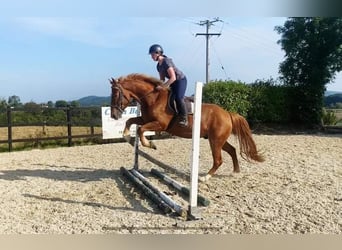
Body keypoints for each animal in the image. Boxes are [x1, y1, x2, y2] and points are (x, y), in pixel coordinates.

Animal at [109, 73, 264, 181]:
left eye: (116, 94)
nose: (113, 115)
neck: (153, 98)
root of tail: (227, 113)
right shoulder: (144, 119)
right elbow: (130, 121)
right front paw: (126, 136)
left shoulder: (160, 124)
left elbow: (141, 130)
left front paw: (151, 144)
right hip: (218, 139)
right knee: (232, 150)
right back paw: (236, 172)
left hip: (215, 140)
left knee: (218, 159)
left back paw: (205, 177)